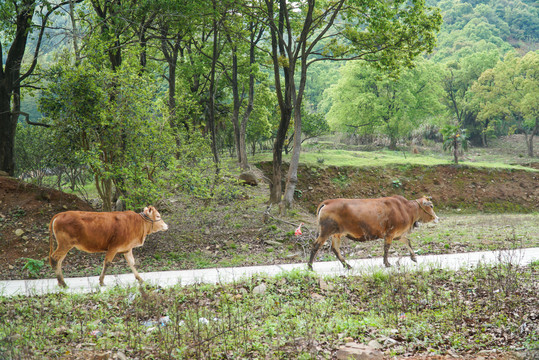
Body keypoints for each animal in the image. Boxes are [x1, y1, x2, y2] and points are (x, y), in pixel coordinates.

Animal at [308, 195, 438, 268]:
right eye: (431, 206)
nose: (437, 218)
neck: (406, 209)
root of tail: (328, 202)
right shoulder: (390, 233)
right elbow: (387, 248)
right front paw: (387, 263)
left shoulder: (398, 234)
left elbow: (408, 242)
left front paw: (414, 257)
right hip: (325, 231)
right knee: (315, 245)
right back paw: (310, 267)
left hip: (336, 233)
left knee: (335, 248)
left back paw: (347, 265)